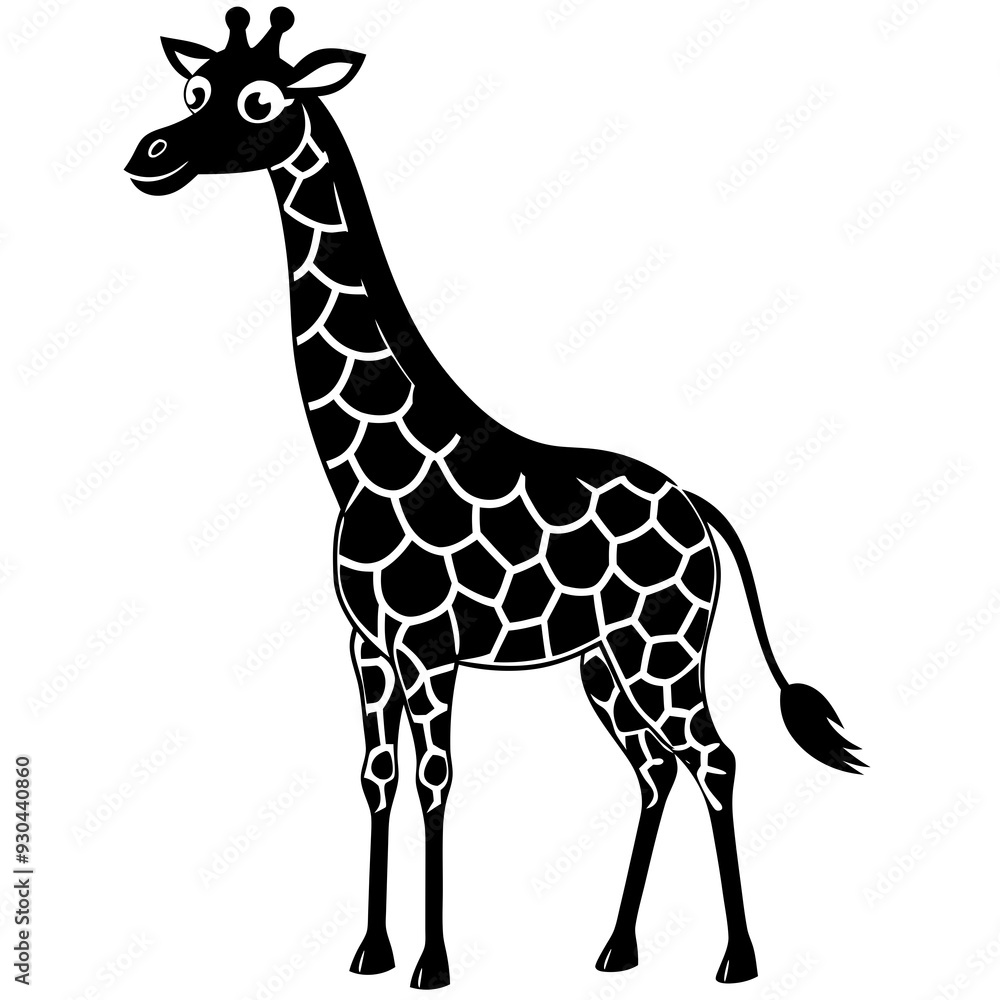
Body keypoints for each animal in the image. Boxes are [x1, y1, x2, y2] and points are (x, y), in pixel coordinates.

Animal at [126, 8, 865, 989]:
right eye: (192, 89)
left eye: (260, 102)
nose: (151, 154)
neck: (364, 462)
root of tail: (699, 508)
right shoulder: (367, 646)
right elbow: (377, 774)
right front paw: (369, 951)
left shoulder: (430, 649)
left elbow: (437, 779)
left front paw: (432, 964)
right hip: (604, 663)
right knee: (656, 769)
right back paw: (616, 948)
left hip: (662, 650)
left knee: (714, 757)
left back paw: (737, 960)